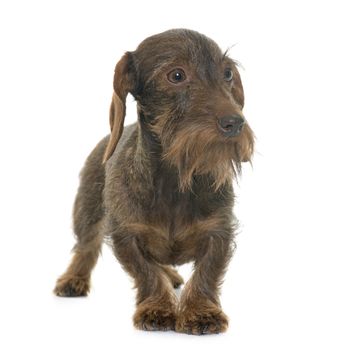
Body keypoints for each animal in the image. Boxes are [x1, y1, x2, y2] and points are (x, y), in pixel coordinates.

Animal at [53, 28, 254, 334]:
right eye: (177, 75)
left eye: (228, 73)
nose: (235, 123)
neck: (176, 180)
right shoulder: (126, 233)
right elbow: (145, 272)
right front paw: (158, 307)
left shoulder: (219, 230)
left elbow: (207, 272)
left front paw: (201, 311)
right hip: (87, 211)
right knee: (86, 247)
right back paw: (74, 278)